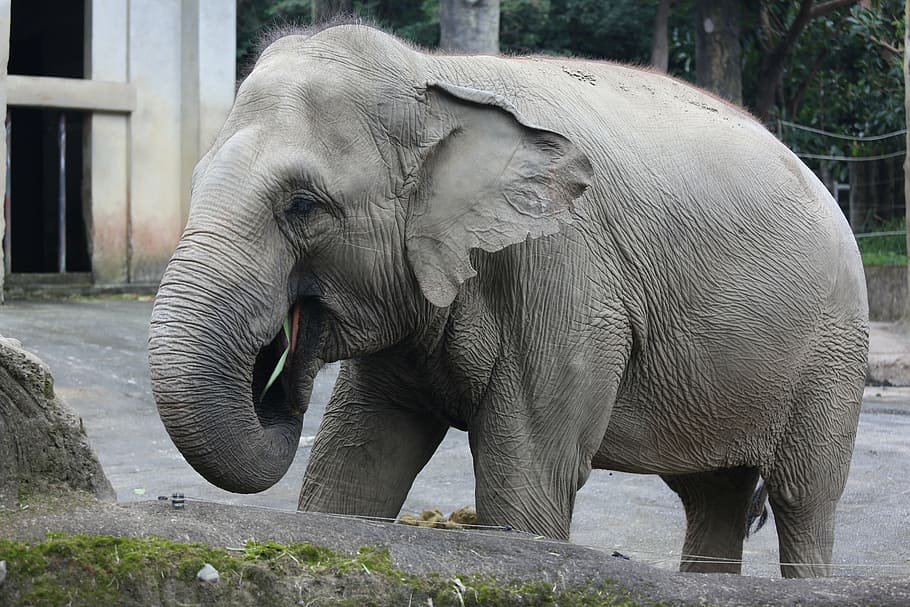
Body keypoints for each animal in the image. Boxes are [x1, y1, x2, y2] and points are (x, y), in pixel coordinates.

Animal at [148, 23, 868, 579]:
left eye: (302, 206)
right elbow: (354, 459)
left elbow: (525, 480)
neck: (437, 78)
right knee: (713, 493)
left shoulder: (564, 278)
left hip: (833, 350)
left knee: (804, 498)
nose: (280, 363)